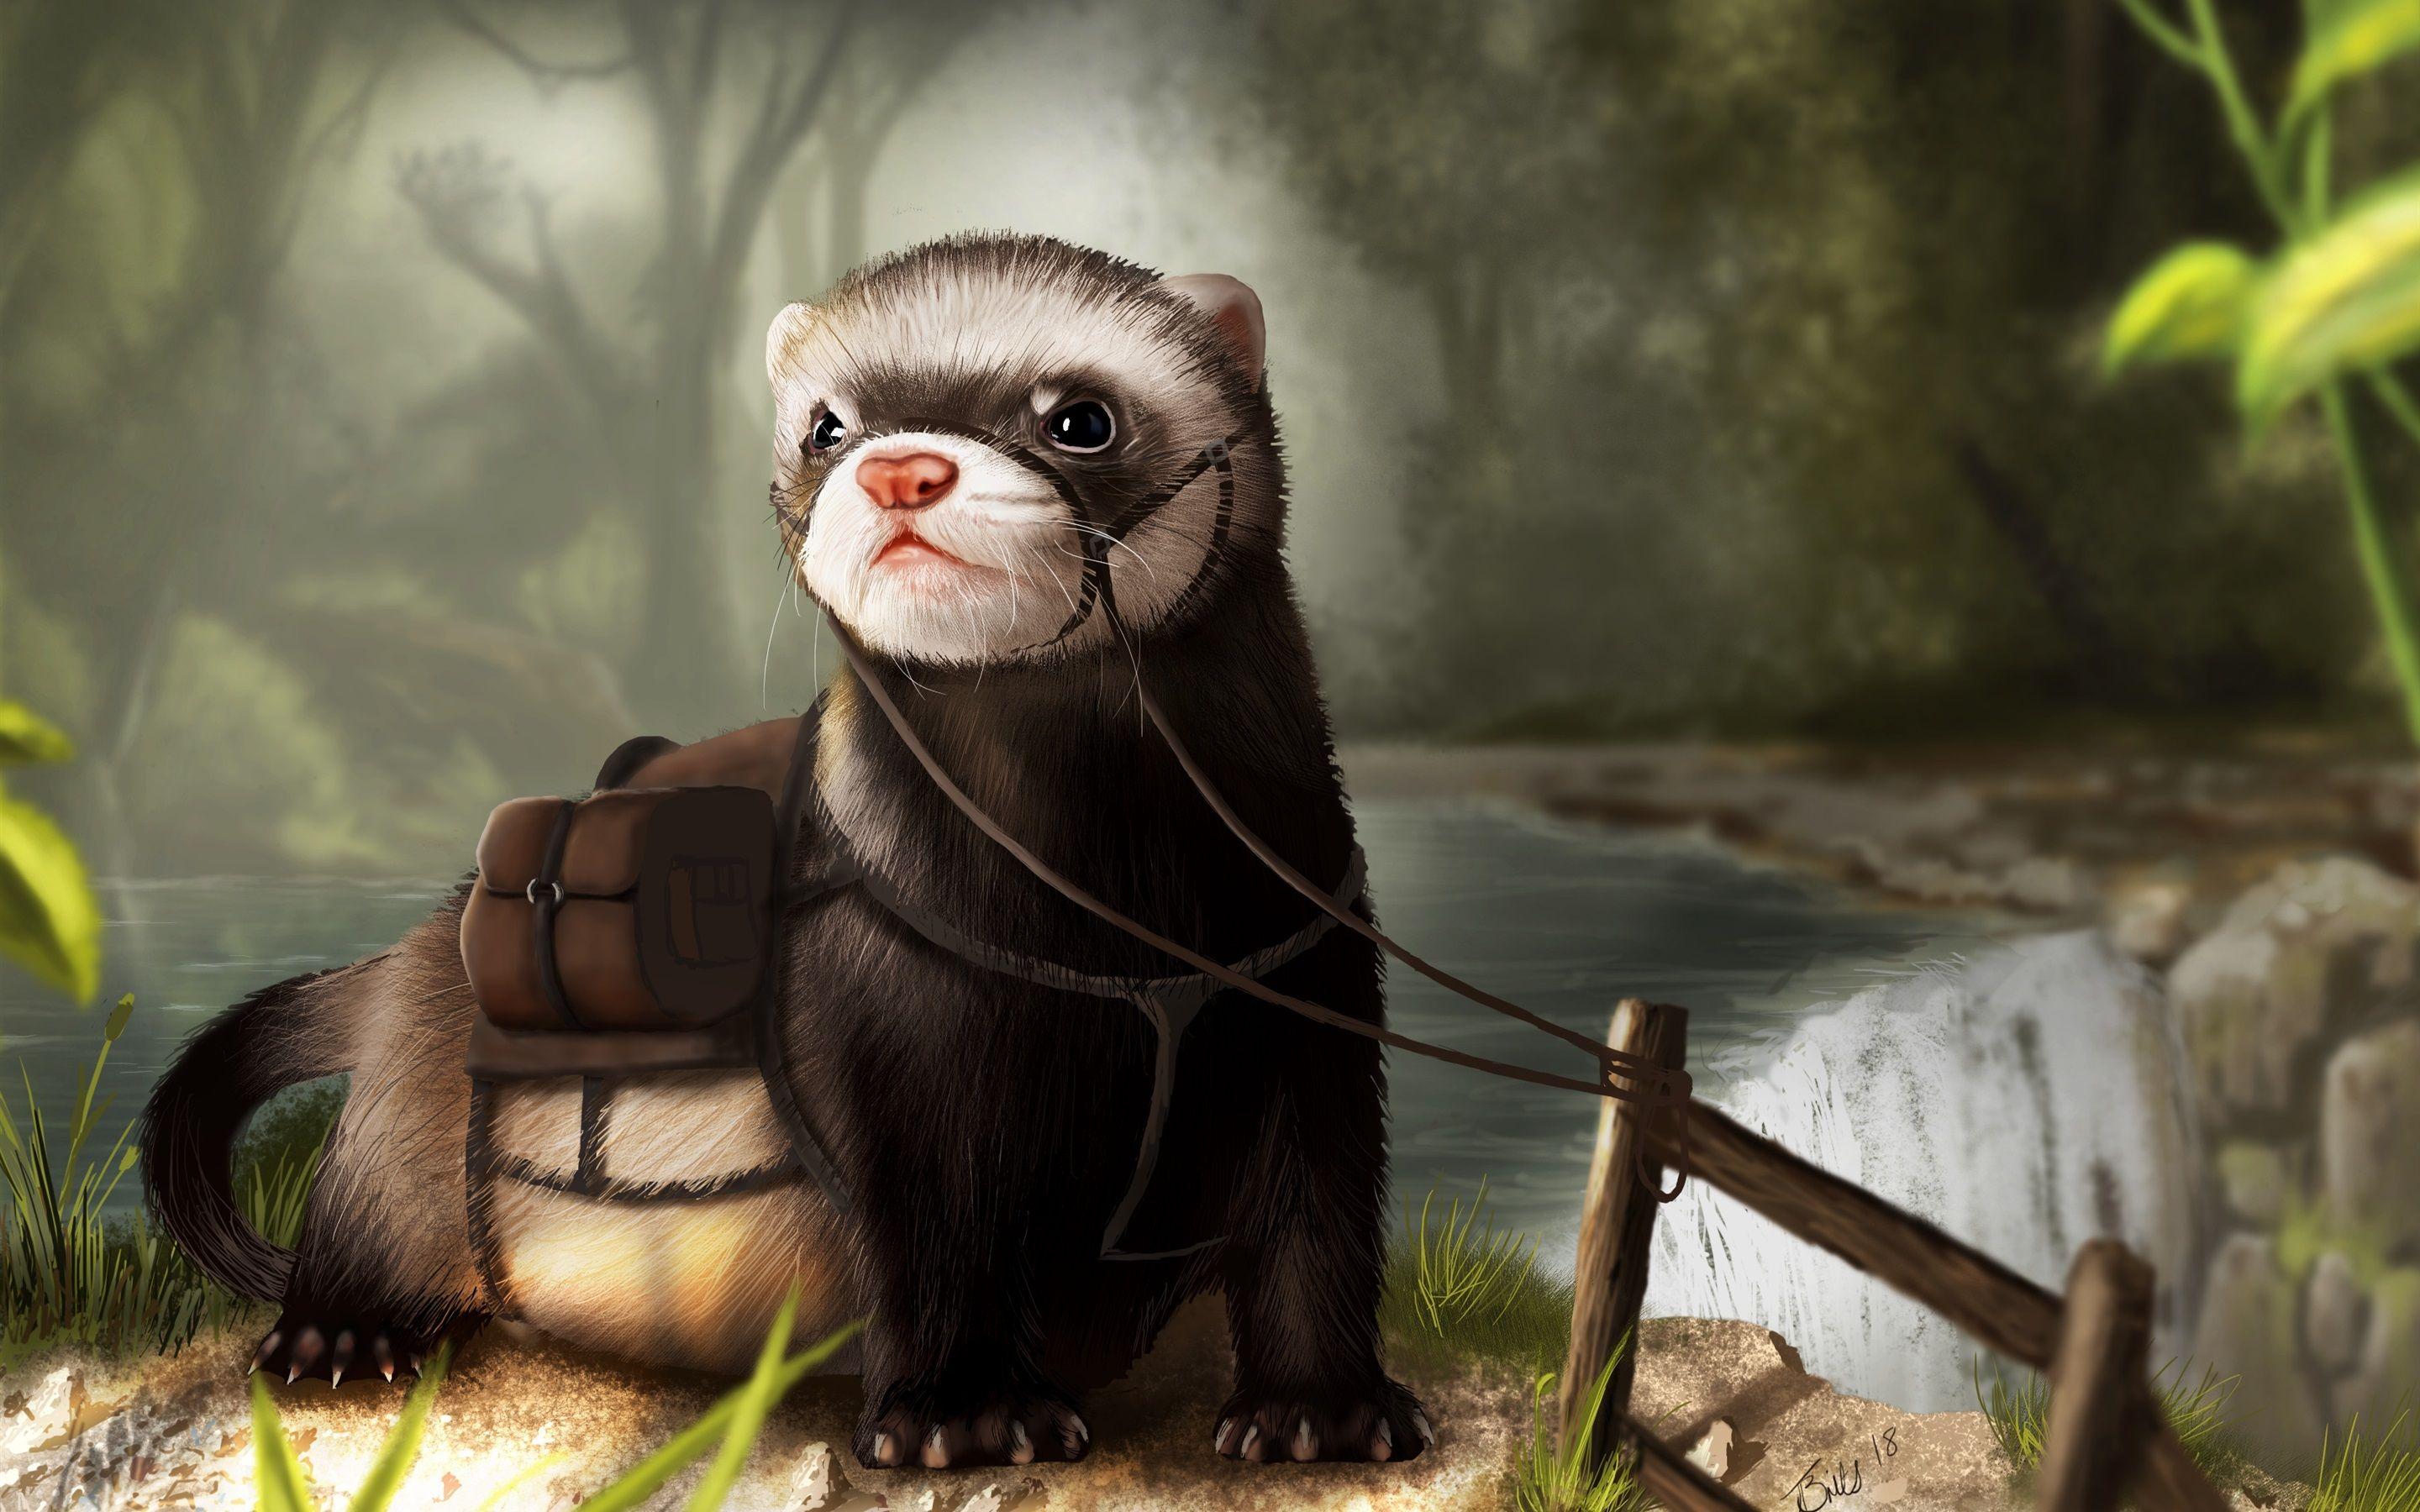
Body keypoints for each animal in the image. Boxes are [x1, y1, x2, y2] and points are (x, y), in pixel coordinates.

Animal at [140, 233, 1428, 1470]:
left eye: (1082, 416)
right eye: (826, 423)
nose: (902, 469)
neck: (1130, 913)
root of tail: (420, 944)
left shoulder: (1308, 985)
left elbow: (1316, 1219)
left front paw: (1323, 1412)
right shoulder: (890, 1022)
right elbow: (937, 1232)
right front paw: (963, 1415)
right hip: (394, 1147)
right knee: (353, 1226)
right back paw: (342, 1340)